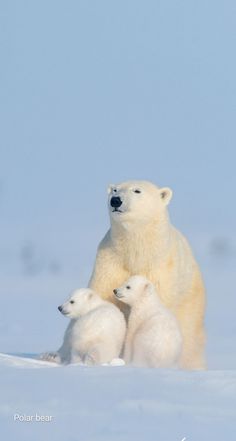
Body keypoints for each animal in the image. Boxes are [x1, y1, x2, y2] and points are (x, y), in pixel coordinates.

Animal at [88, 179, 206, 368]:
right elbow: (104, 296)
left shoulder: (160, 267)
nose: (115, 200)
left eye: (137, 191)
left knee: (190, 337)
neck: (136, 252)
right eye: (115, 190)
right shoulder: (110, 261)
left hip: (190, 302)